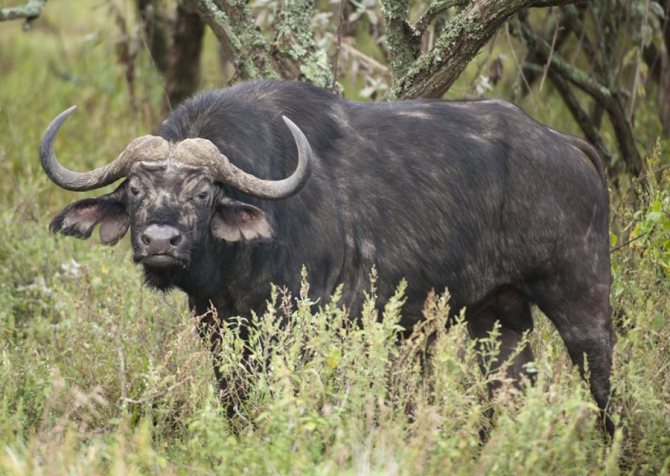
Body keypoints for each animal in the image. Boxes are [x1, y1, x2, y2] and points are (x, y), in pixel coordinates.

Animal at [40, 80, 615, 432]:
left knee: (604, 382)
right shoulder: (218, 328)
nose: (161, 242)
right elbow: (234, 402)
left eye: (203, 192)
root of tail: (566, 145)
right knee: (512, 391)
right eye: (135, 189)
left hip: (581, 299)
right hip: (498, 316)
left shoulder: (301, 324)